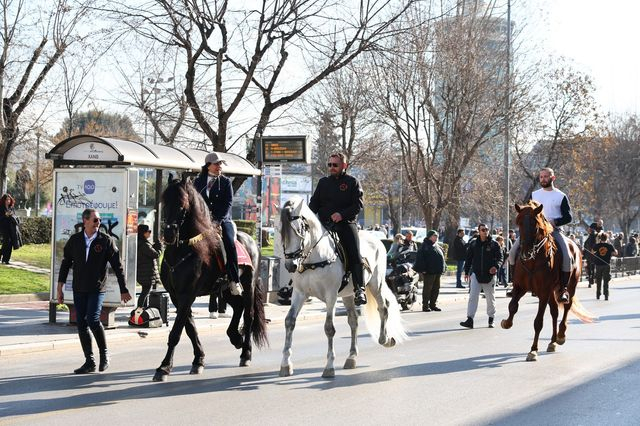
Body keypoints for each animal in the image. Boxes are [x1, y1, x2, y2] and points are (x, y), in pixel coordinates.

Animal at [278, 195, 408, 378]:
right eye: (281, 232)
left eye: (299, 230)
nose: (290, 265)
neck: (315, 256)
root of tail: (377, 239)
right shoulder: (299, 293)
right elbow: (289, 321)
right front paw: (285, 364)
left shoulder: (331, 295)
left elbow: (329, 328)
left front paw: (329, 366)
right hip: (347, 295)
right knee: (353, 320)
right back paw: (351, 357)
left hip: (375, 284)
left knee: (383, 308)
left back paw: (385, 339)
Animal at [500, 201, 596, 362]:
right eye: (519, 223)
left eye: (536, 225)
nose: (525, 252)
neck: (532, 261)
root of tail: (576, 246)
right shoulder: (520, 287)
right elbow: (512, 306)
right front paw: (507, 322)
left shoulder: (543, 292)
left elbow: (538, 322)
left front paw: (533, 350)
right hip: (552, 291)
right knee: (555, 312)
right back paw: (552, 342)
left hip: (570, 287)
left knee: (566, 307)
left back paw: (561, 336)